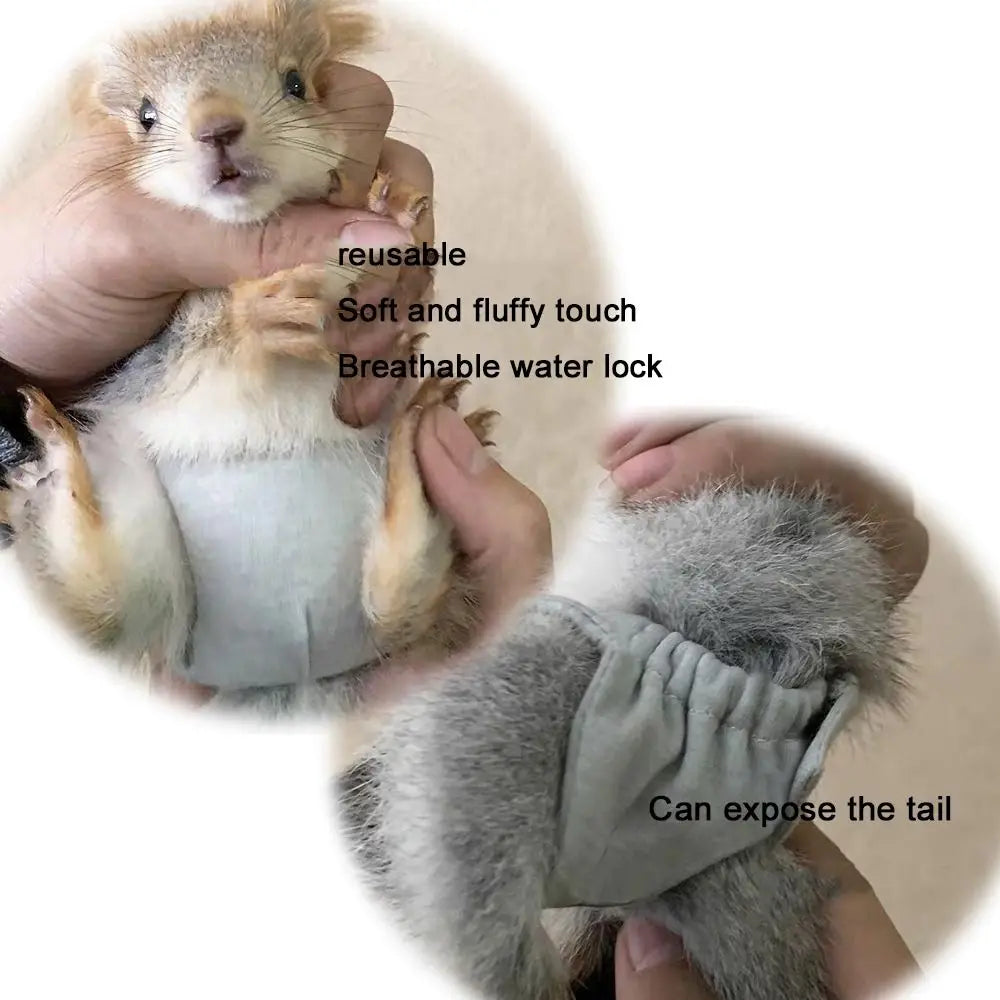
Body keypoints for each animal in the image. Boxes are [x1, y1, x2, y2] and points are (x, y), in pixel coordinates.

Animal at [0, 0, 496, 714]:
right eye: (145, 117)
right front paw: (262, 313)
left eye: (297, 84)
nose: (217, 128)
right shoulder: (151, 353)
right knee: (99, 599)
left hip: (390, 585)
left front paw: (388, 205)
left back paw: (420, 427)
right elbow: (208, 337)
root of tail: (296, 671)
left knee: (405, 596)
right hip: (143, 547)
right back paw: (49, 461)